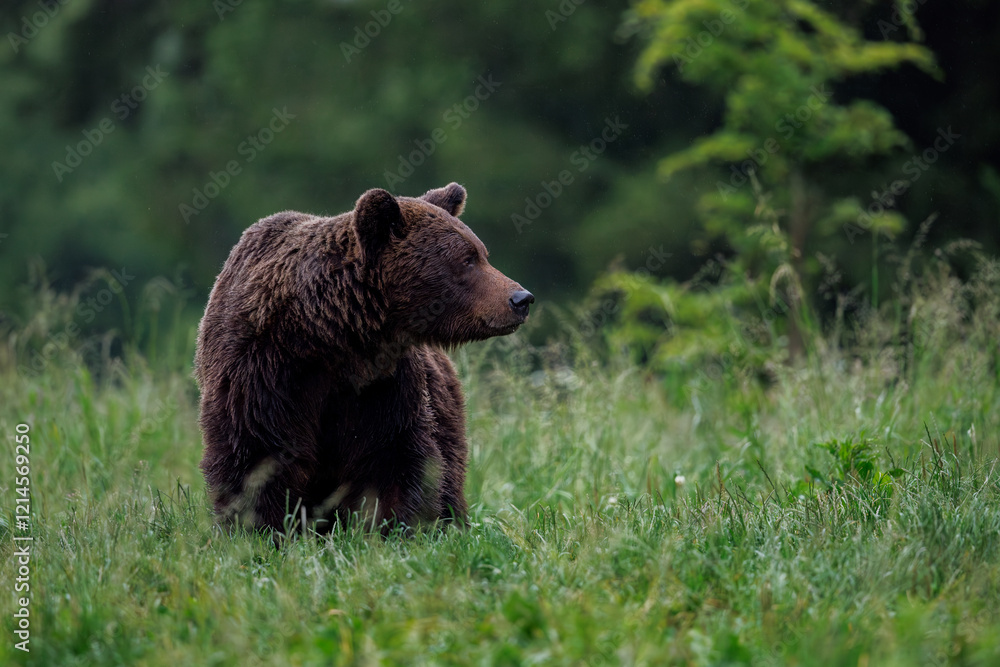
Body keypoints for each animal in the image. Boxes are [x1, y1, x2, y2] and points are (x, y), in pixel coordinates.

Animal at [194, 183, 533, 536]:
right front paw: (258, 529)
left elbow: (392, 458)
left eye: (482, 254)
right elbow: (256, 454)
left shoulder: (382, 387)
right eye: (467, 259)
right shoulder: (262, 371)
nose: (521, 298)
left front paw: (392, 528)